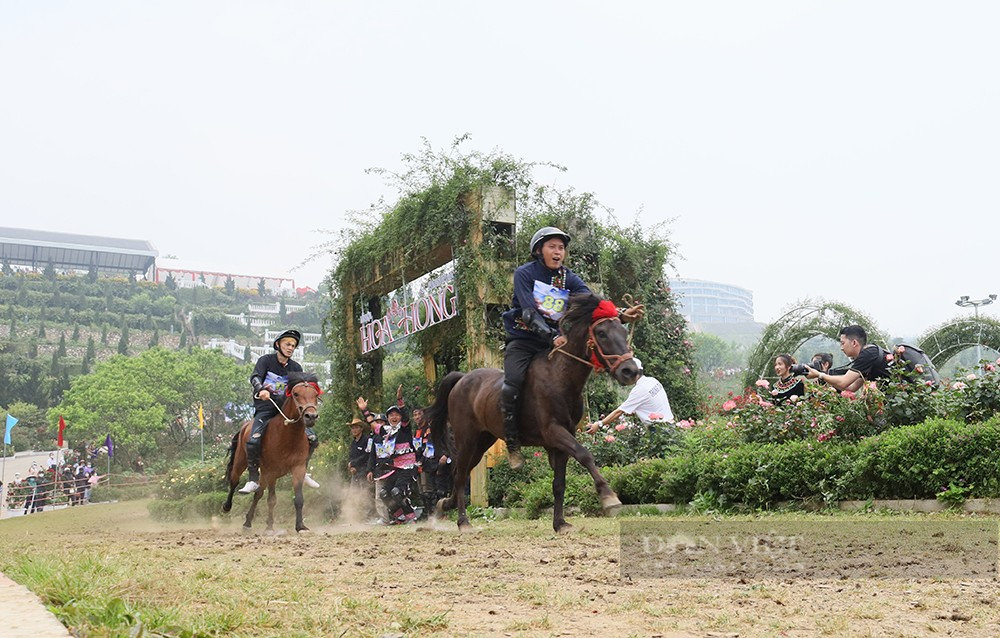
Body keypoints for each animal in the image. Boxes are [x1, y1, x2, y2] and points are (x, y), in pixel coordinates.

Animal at [222, 372, 320, 532]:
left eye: (315, 394)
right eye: (296, 393)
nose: (310, 416)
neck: (287, 436)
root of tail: (246, 425)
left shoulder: (298, 468)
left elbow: (297, 498)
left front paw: (300, 526)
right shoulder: (269, 470)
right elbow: (265, 497)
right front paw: (260, 525)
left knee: (263, 496)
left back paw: (258, 523)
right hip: (241, 462)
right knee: (235, 482)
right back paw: (228, 506)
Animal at [426, 296, 636, 536]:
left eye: (623, 331)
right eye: (601, 333)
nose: (630, 371)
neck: (560, 377)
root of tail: (462, 379)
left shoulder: (561, 439)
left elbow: (559, 484)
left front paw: (560, 523)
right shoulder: (554, 431)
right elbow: (585, 455)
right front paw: (608, 496)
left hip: (482, 441)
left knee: (461, 471)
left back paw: (445, 505)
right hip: (466, 439)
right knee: (460, 474)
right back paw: (463, 521)